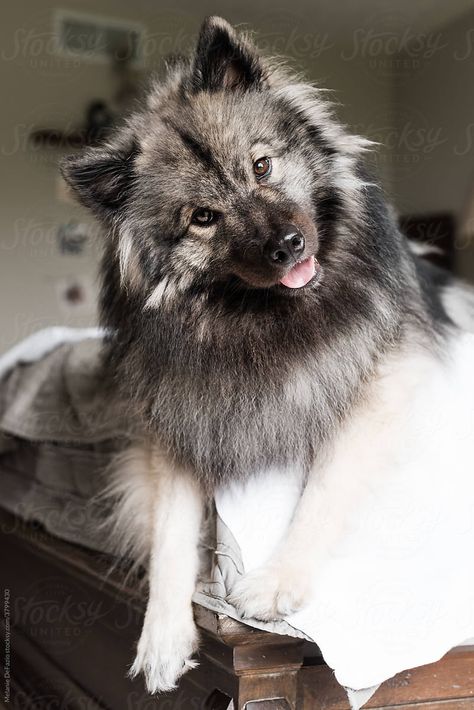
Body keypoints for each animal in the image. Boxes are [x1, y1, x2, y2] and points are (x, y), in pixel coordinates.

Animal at [61, 15, 472, 696]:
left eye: (262, 166)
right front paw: (163, 637)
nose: (289, 245)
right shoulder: (176, 422)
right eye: (203, 217)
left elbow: (323, 490)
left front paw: (276, 582)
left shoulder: (381, 388)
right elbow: (171, 536)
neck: (257, 322)